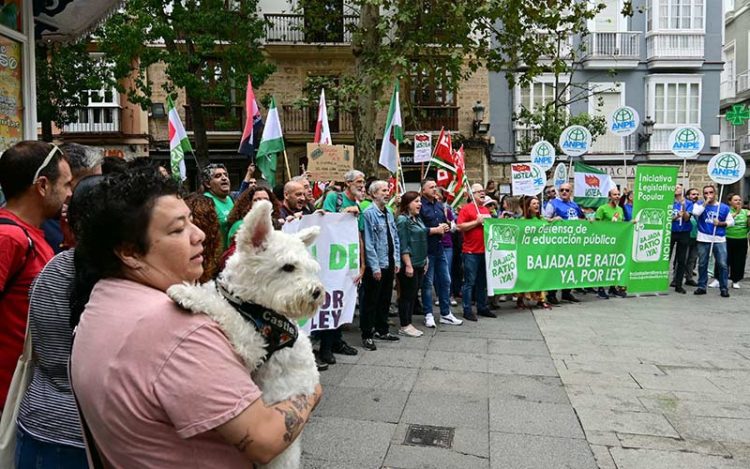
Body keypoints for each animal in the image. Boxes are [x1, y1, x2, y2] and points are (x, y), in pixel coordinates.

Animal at [170, 199, 326, 466]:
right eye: (288, 267)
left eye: (309, 267)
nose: (316, 292)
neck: (250, 303)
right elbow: (218, 298)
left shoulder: (254, 343)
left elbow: (225, 311)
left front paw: (187, 292)